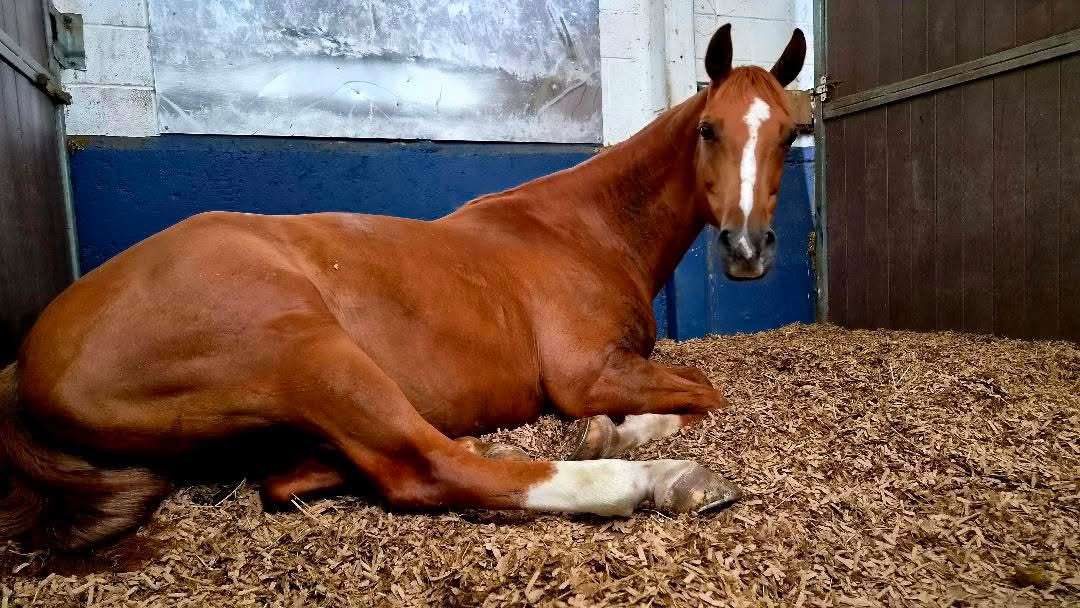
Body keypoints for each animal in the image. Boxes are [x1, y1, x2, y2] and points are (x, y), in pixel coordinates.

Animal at [0, 24, 805, 551]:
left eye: (788, 136)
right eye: (708, 129)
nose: (745, 250)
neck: (585, 229)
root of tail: (28, 359)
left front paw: (611, 430)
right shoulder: (587, 374)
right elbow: (705, 389)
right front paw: (615, 437)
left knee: (302, 476)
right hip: (311, 354)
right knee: (430, 467)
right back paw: (646, 482)